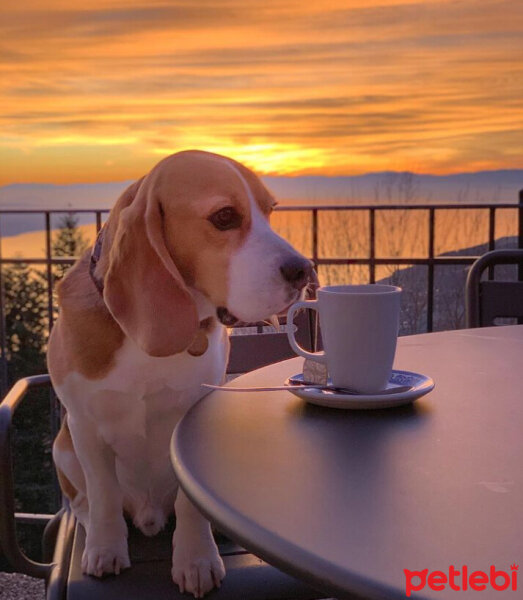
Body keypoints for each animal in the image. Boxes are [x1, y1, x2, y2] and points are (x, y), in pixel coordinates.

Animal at [47, 149, 314, 596]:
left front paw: (196, 559)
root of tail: (148, 513)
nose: (305, 271)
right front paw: (105, 548)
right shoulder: (84, 425)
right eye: (224, 217)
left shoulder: (191, 420)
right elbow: (102, 494)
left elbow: (191, 503)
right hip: (62, 445)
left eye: (270, 211)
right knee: (85, 500)